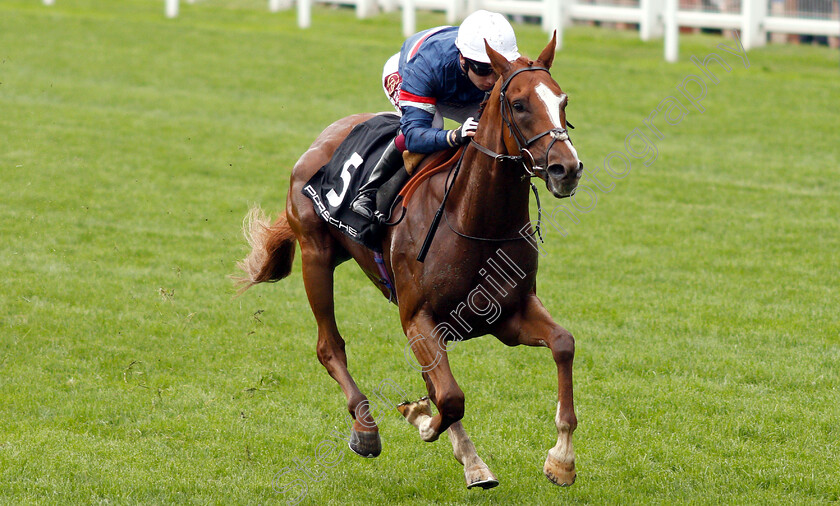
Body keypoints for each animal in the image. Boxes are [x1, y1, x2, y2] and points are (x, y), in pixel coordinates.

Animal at [233, 37, 580, 488]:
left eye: (563, 101)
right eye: (519, 104)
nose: (566, 168)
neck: (474, 219)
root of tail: (325, 136)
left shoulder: (508, 315)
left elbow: (563, 344)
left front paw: (561, 460)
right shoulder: (418, 317)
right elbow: (449, 396)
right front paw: (423, 421)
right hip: (315, 254)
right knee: (329, 346)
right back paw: (365, 429)